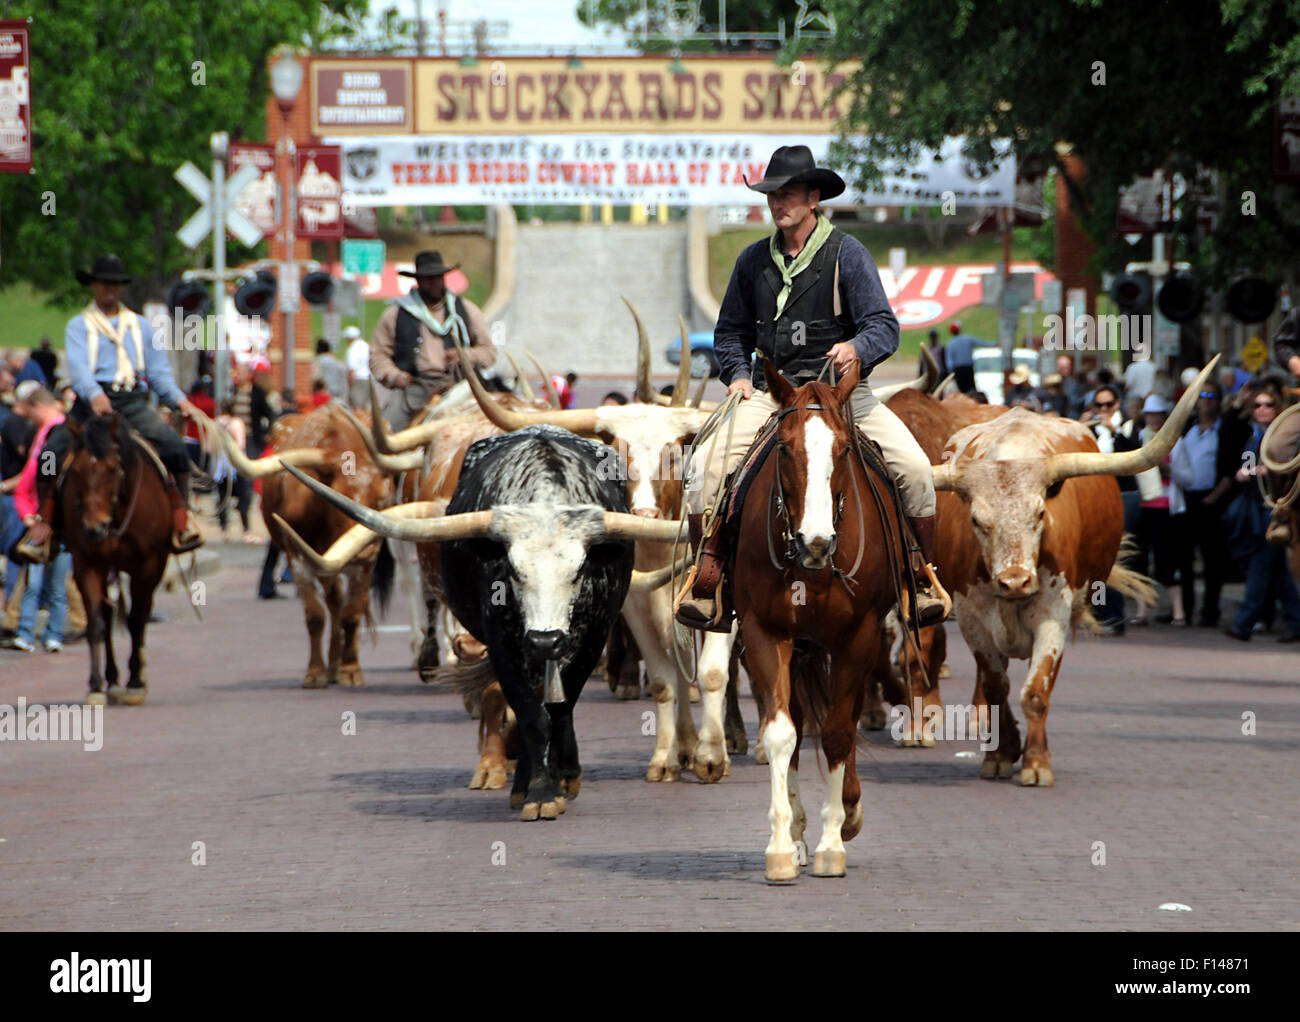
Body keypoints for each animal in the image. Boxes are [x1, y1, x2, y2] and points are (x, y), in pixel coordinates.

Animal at [52, 410, 172, 707]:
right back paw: (113, 680)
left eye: (111, 468)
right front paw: (96, 685)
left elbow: (137, 620)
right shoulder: (86, 563)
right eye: (77, 471)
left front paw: (136, 683)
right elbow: (96, 621)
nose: (94, 528)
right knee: (107, 615)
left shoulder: (150, 564)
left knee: (140, 613)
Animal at [733, 353, 915, 878]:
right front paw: (781, 845)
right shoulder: (765, 631)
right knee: (796, 721)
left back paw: (847, 812)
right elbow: (781, 734)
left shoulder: (860, 635)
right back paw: (797, 828)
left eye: (843, 449)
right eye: (785, 449)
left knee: (844, 718)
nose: (816, 542)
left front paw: (833, 841)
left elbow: (837, 732)